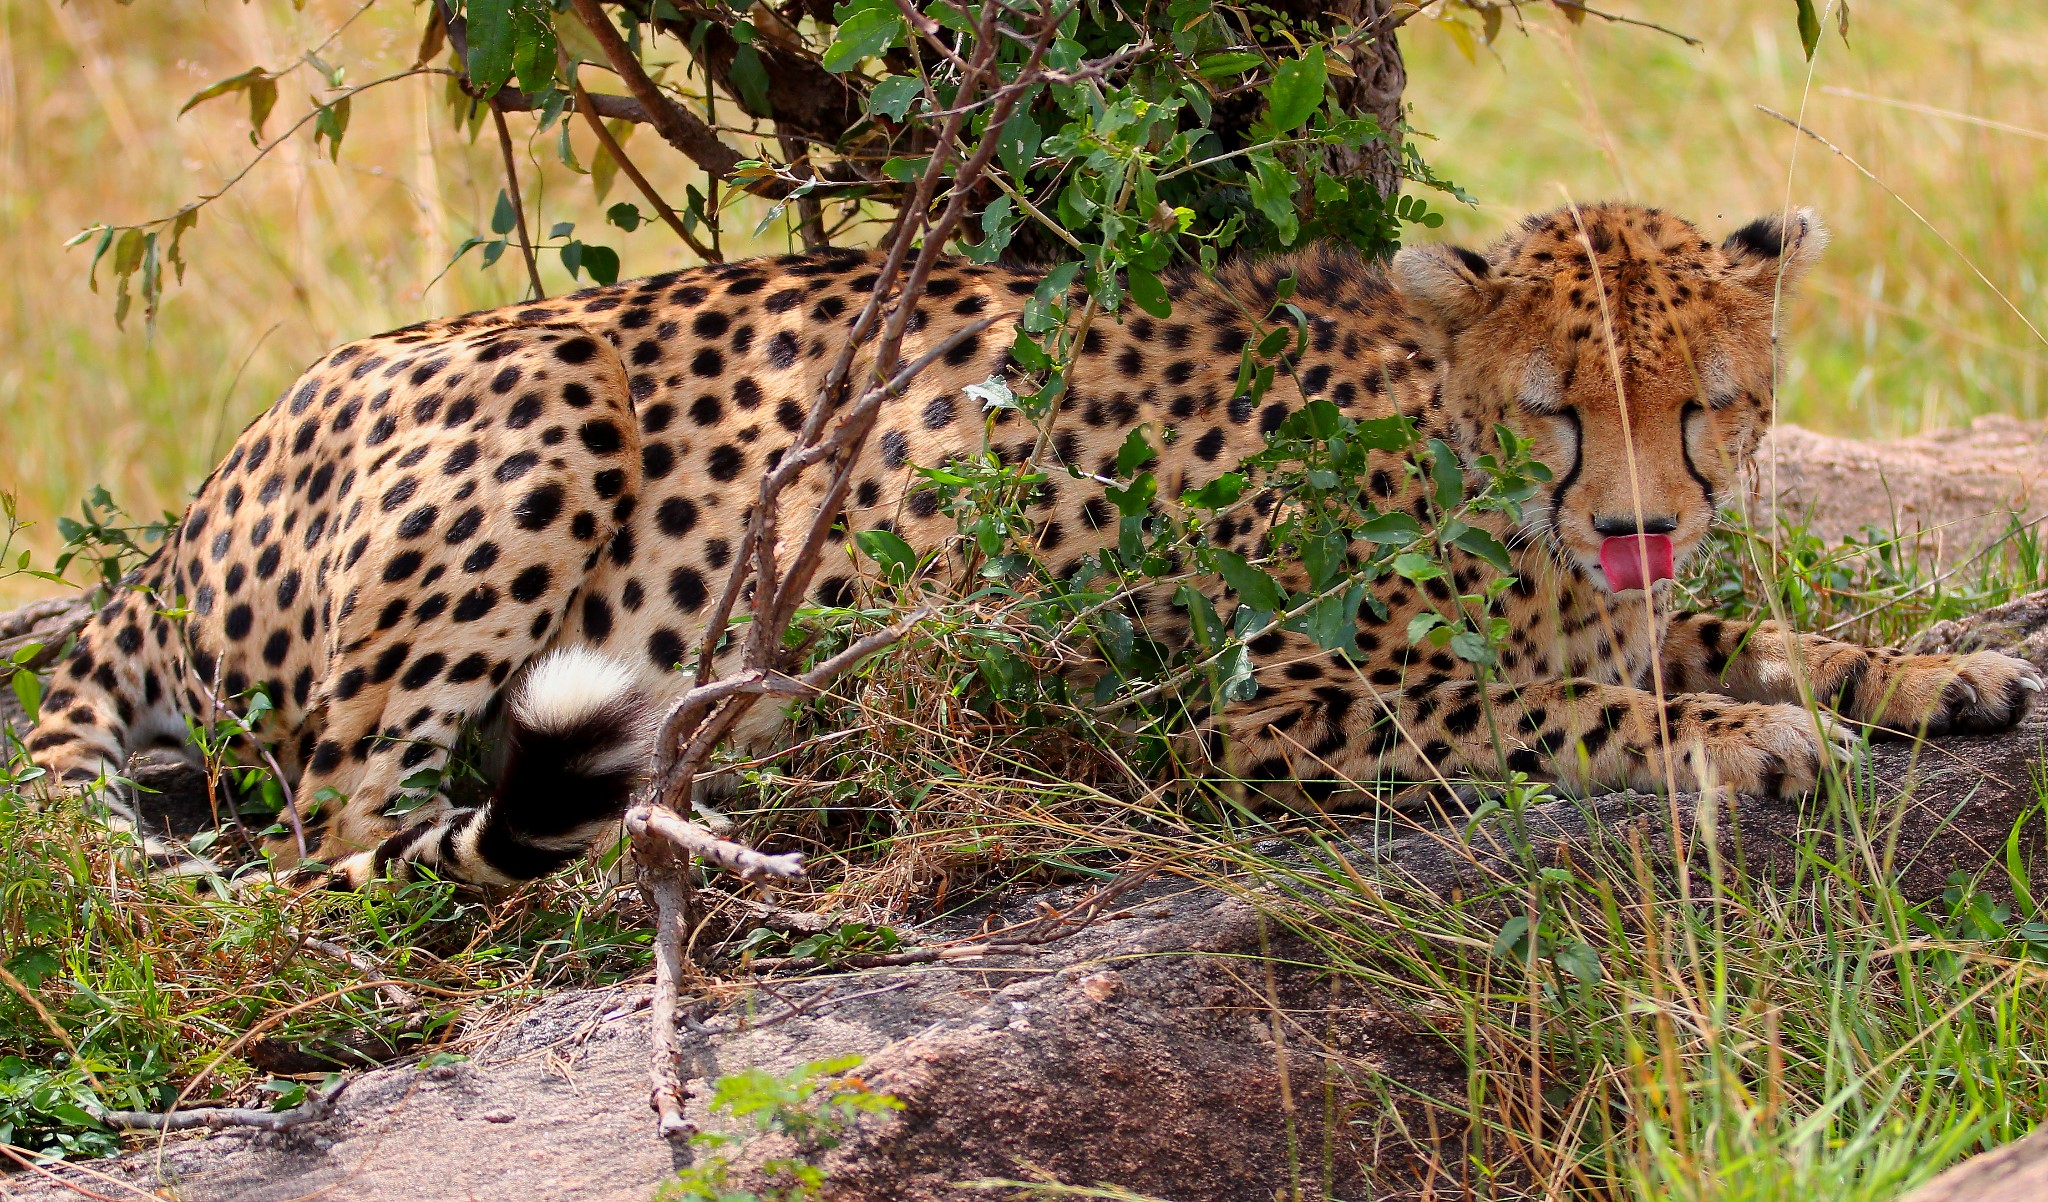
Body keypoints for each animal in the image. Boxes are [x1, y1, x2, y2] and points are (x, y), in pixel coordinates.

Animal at [24, 204, 2039, 884]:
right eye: (1560, 404)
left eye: (1706, 401)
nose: (1634, 520)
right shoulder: (1246, 706)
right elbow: (1536, 709)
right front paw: (1741, 737)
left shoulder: (1627, 599)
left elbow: (1743, 632)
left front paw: (1932, 670)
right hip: (537, 413)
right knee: (330, 830)